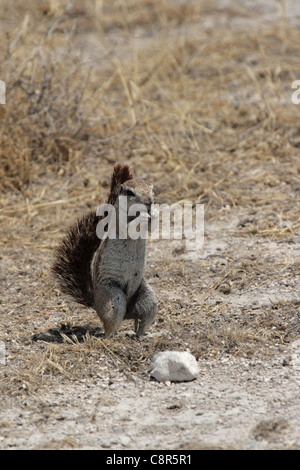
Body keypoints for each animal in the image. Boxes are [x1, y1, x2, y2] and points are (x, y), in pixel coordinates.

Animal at [52, 163, 157, 336]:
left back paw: (143, 334)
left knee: (141, 322)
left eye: (152, 189)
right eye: (130, 192)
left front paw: (154, 212)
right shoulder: (119, 223)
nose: (150, 202)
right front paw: (143, 215)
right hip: (114, 298)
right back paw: (115, 336)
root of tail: (95, 302)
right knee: (110, 328)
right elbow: (128, 227)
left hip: (148, 298)